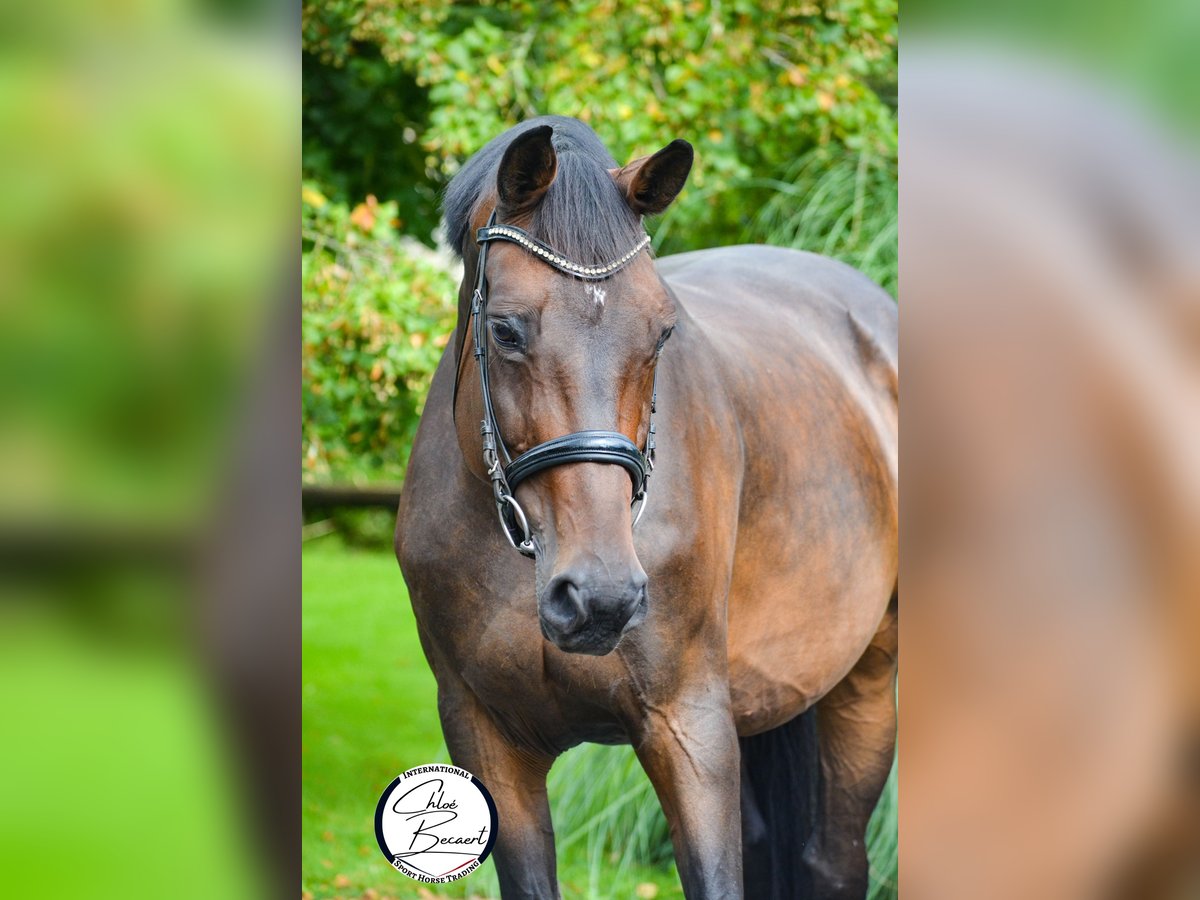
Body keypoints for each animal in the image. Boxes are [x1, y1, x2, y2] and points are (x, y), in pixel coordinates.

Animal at [398, 116, 897, 897]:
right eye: (505, 329)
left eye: (663, 330)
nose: (599, 596)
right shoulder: (486, 737)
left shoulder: (689, 728)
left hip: (869, 680)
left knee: (835, 861)